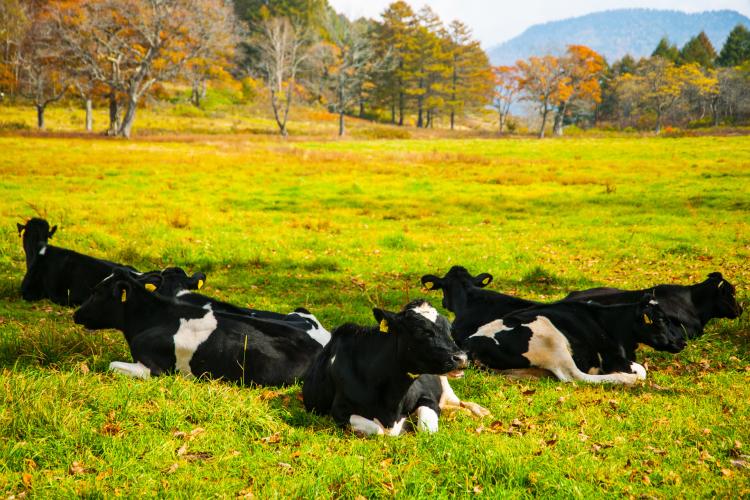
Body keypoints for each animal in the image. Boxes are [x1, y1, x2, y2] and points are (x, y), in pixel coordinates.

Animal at [306, 298, 488, 436]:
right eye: (421, 331)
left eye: (449, 330)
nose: (462, 358)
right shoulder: (339, 410)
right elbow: (378, 430)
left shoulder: (427, 397)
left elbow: (426, 429)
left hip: (445, 384)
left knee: (460, 402)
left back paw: (479, 410)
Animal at [464, 292, 688, 382]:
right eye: (660, 320)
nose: (683, 341)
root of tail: (471, 341)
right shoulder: (612, 358)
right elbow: (641, 370)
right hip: (552, 340)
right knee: (575, 377)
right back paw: (623, 379)